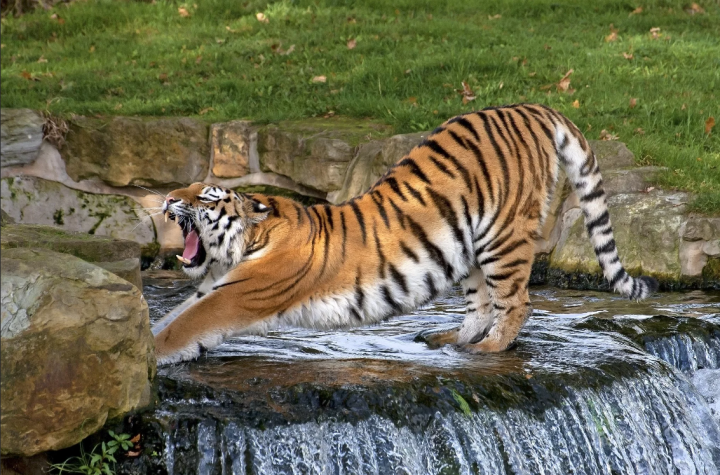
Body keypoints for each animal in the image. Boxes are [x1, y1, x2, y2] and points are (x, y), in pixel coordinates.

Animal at [153, 103, 660, 364]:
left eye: (205, 196)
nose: (166, 198)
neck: (247, 243)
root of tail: (532, 107)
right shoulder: (213, 286)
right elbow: (170, 316)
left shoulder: (238, 295)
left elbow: (181, 327)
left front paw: (151, 359)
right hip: (468, 243)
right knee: (481, 304)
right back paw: (451, 342)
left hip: (503, 236)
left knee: (516, 302)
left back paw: (490, 349)